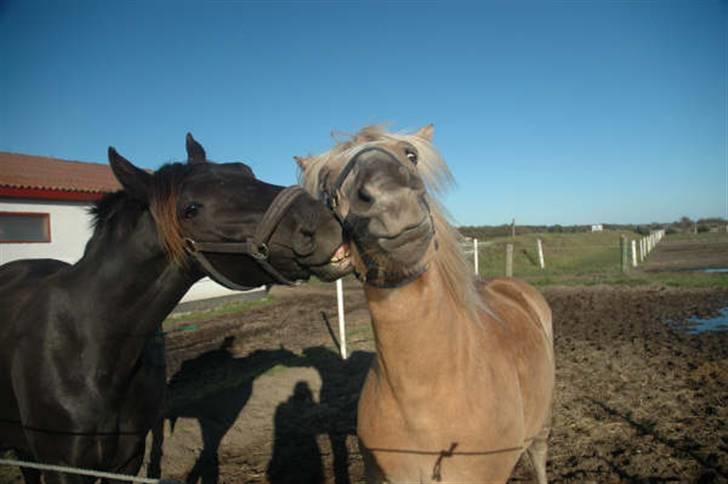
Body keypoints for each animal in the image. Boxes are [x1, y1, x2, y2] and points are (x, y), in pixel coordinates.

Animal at [0, 133, 352, 484]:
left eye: (245, 170)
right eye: (190, 210)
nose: (325, 226)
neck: (94, 347)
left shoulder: (128, 458)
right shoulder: (63, 468)